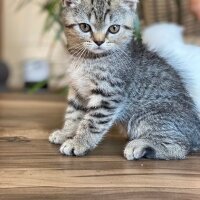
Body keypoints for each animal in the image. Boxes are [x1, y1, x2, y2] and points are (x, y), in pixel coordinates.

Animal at [48, 0, 200, 159]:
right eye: (84, 27)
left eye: (114, 28)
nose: (99, 41)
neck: (88, 59)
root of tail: (196, 131)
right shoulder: (78, 90)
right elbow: (73, 115)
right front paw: (66, 133)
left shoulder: (108, 94)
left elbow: (92, 122)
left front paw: (79, 143)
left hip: (145, 117)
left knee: (181, 146)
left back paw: (141, 146)